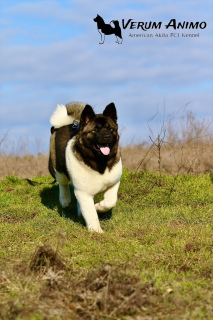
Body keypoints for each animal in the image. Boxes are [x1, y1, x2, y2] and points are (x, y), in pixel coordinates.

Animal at [48, 102, 121, 232]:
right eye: (95, 129)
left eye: (110, 128)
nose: (107, 136)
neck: (100, 161)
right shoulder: (84, 193)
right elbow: (91, 213)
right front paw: (96, 231)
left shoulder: (113, 183)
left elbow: (109, 202)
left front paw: (98, 207)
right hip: (57, 167)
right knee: (62, 182)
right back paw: (64, 199)